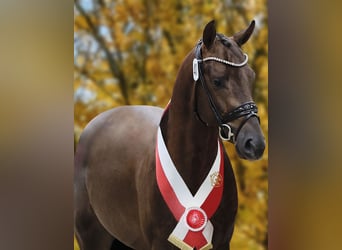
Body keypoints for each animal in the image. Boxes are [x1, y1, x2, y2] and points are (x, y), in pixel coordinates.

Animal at [75, 20, 266, 250]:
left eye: (251, 76)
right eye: (218, 80)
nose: (254, 143)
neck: (191, 166)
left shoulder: (222, 242)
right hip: (92, 237)